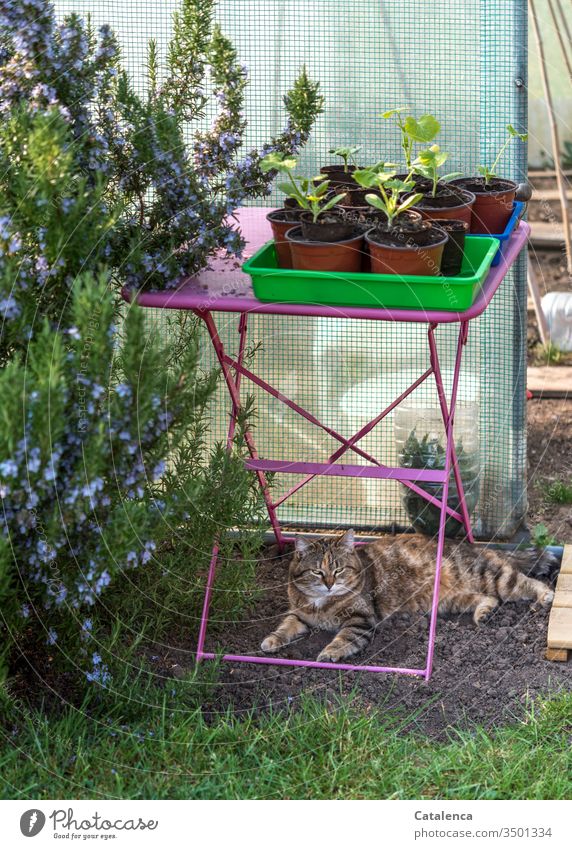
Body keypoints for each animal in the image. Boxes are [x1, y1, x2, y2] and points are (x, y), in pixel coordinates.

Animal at [262, 528, 556, 664]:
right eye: (317, 571)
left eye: (339, 569)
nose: (330, 584)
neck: (321, 605)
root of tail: (481, 547)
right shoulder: (299, 614)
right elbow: (285, 626)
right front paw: (272, 640)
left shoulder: (360, 620)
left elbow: (344, 638)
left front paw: (328, 652)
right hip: (451, 600)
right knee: (488, 599)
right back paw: (483, 613)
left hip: (493, 578)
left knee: (525, 582)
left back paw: (545, 597)